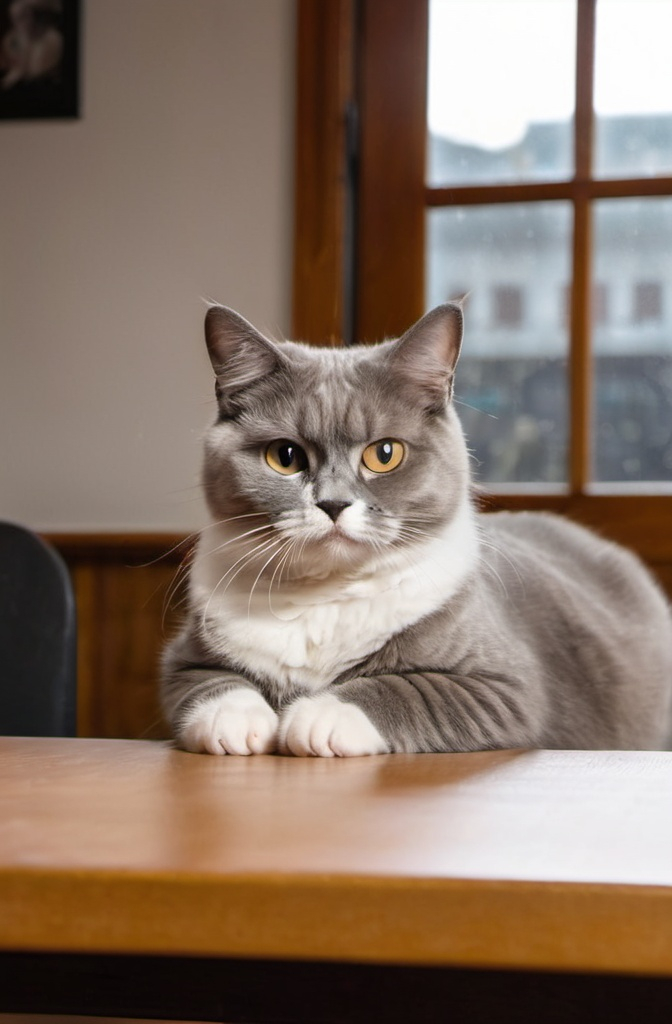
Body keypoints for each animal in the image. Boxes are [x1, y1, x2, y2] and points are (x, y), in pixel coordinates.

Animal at [161, 299, 672, 757]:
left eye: (384, 454)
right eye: (284, 457)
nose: (333, 503)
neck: (327, 596)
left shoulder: (505, 686)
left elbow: (410, 689)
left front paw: (321, 715)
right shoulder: (182, 658)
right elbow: (208, 681)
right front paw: (236, 719)